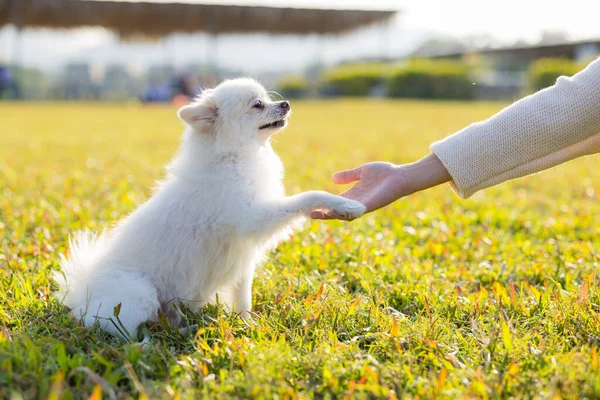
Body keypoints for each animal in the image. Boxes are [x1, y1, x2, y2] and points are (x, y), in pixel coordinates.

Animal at [56, 76, 366, 336]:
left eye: (268, 98)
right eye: (257, 105)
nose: (286, 103)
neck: (234, 157)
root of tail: (81, 293)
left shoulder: (243, 261)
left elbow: (243, 298)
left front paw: (247, 326)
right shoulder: (252, 219)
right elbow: (308, 195)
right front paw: (346, 204)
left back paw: (181, 327)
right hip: (139, 293)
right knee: (122, 331)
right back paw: (148, 343)